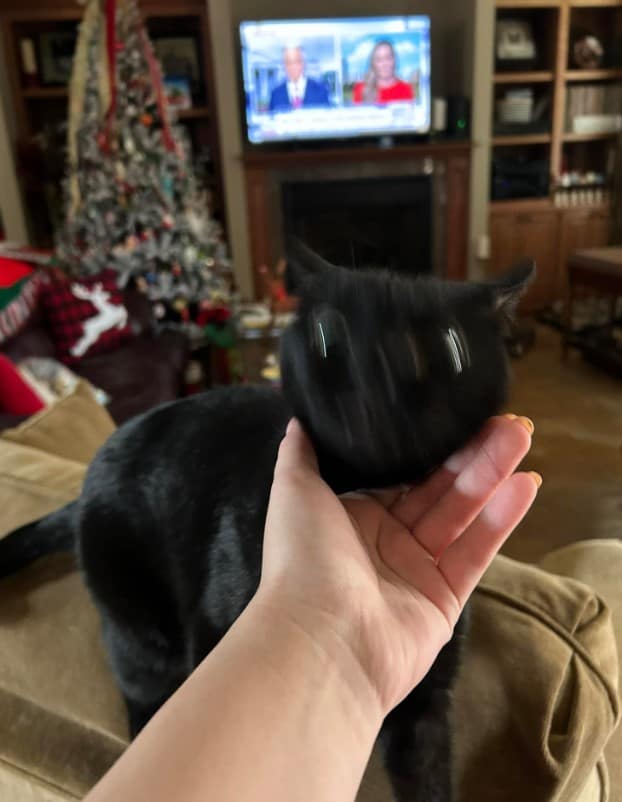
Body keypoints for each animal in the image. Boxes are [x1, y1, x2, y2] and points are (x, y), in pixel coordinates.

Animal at [0, 245, 536, 800]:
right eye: (329, 332)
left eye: (449, 346)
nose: (383, 375)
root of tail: (83, 486)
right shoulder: (215, 634)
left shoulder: (426, 706)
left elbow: (429, 782)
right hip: (143, 636)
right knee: (141, 697)